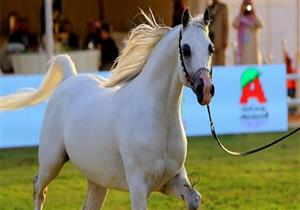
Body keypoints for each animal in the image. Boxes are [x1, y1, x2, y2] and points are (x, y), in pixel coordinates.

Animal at [1, 8, 214, 210]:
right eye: (186, 49)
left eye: (210, 48)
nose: (206, 90)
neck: (159, 118)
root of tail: (69, 79)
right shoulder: (138, 186)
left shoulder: (171, 180)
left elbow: (195, 199)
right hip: (51, 160)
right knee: (39, 188)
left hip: (97, 180)